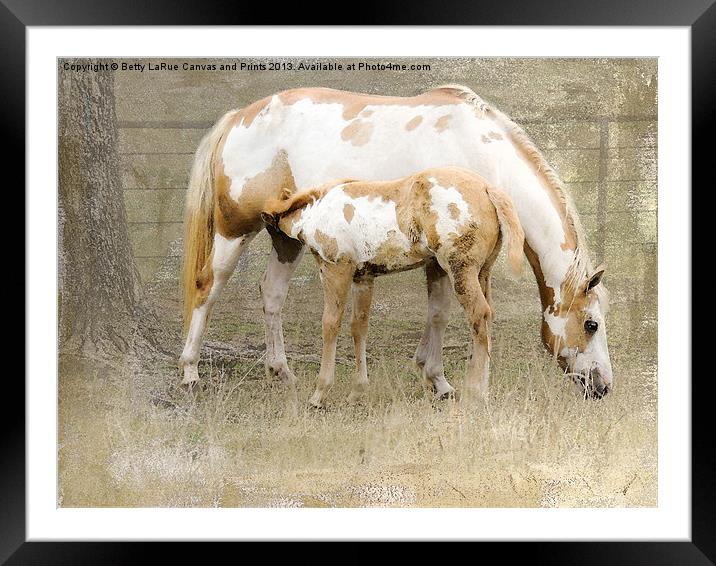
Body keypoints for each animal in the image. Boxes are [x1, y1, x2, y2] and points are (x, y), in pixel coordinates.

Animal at [262, 165, 524, 408]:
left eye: (271, 232)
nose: (282, 257)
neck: (317, 210)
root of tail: (487, 188)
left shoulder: (336, 270)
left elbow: (330, 325)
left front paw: (319, 394)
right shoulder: (363, 278)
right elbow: (359, 327)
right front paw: (357, 391)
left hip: (461, 269)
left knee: (479, 315)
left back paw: (474, 393)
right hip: (482, 271)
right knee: (488, 317)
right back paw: (482, 390)